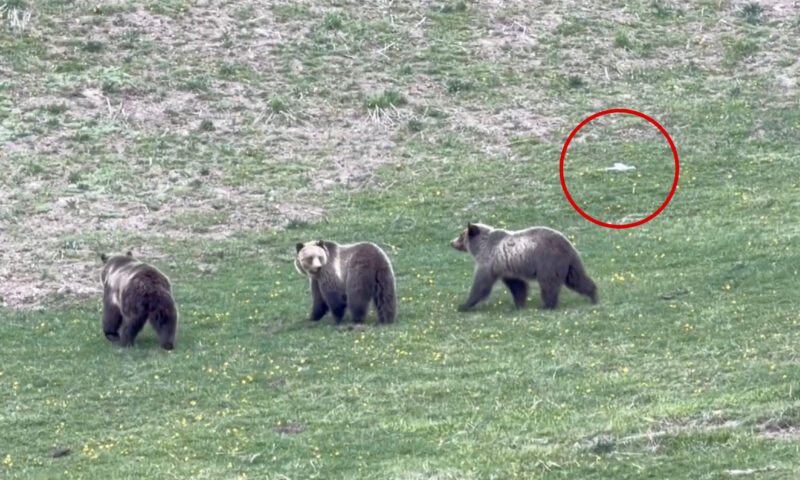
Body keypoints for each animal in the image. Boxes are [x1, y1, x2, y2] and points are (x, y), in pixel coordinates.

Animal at [450, 223, 597, 311]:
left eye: (461, 235)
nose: (451, 242)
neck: (481, 247)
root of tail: (568, 244)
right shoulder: (506, 268)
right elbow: (517, 285)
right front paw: (519, 304)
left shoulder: (489, 262)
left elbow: (481, 284)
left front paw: (464, 305)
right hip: (570, 264)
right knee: (577, 279)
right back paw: (593, 295)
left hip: (548, 262)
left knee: (548, 284)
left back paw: (548, 305)